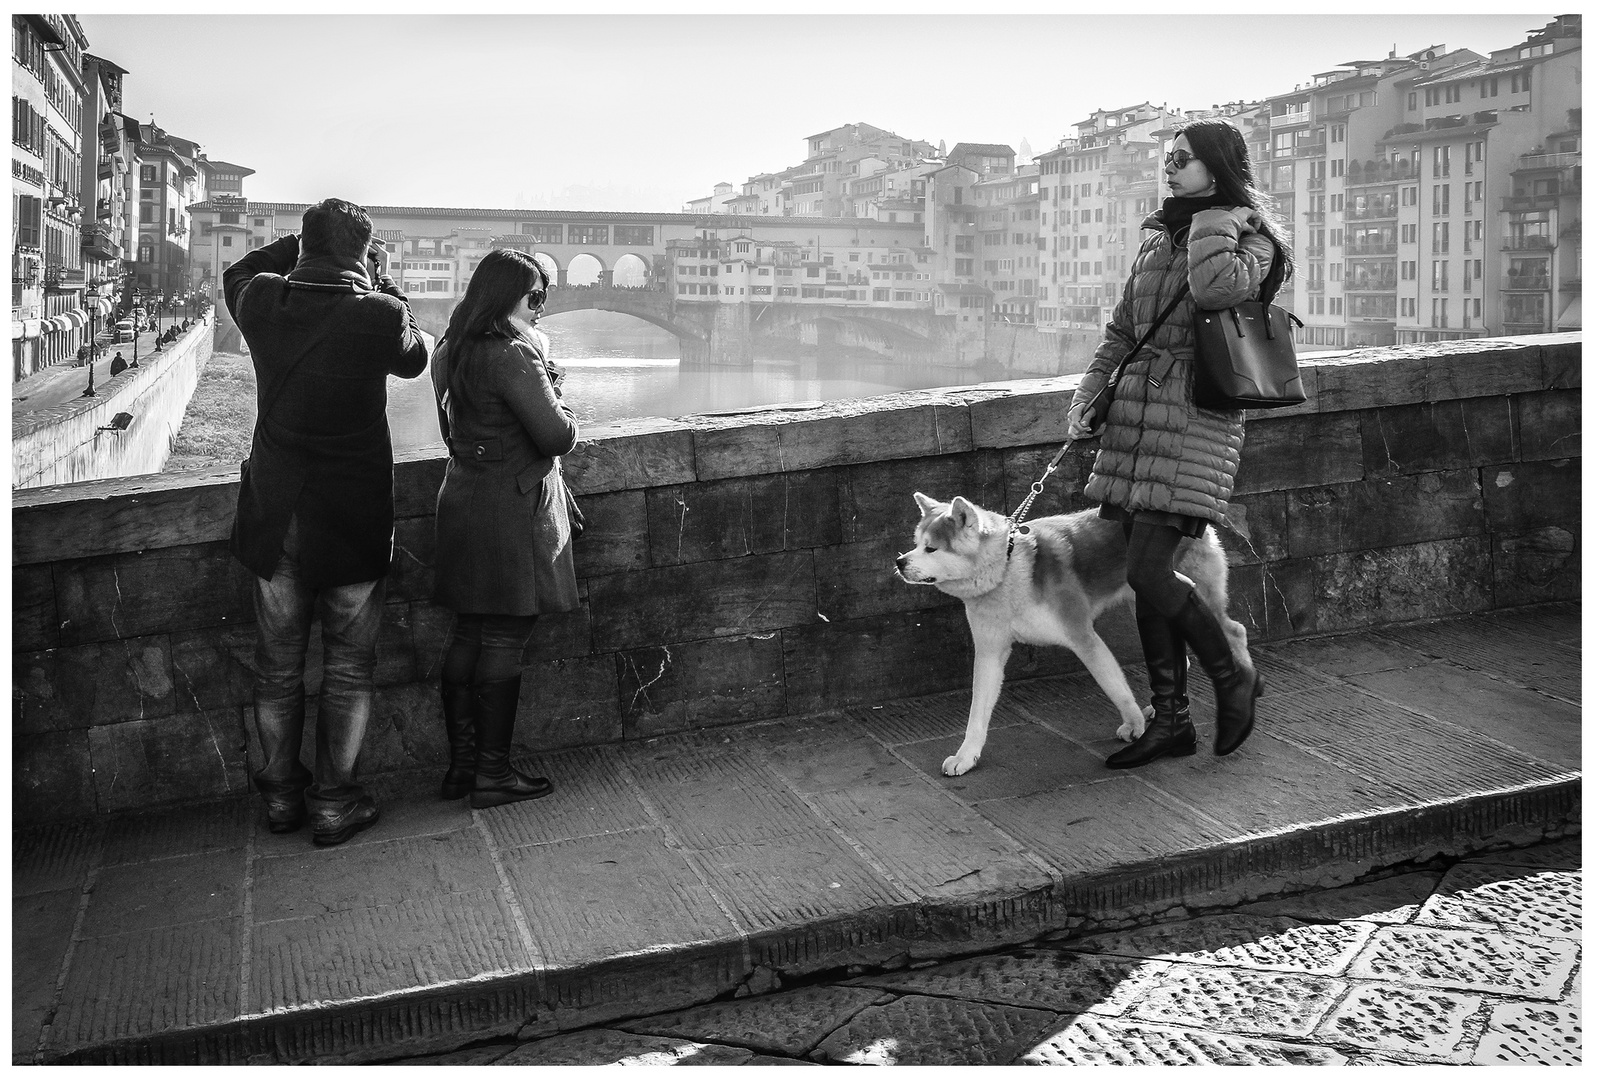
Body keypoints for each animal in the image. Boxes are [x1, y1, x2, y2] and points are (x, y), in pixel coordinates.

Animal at [901, 492, 1247, 780]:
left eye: (931, 548)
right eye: (916, 543)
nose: (899, 561)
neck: (1009, 570)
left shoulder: (1083, 636)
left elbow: (1115, 687)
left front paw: (1134, 725)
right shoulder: (989, 652)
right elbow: (977, 713)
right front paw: (967, 756)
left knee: (1235, 632)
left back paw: (1243, 690)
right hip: (1148, 602)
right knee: (1182, 656)